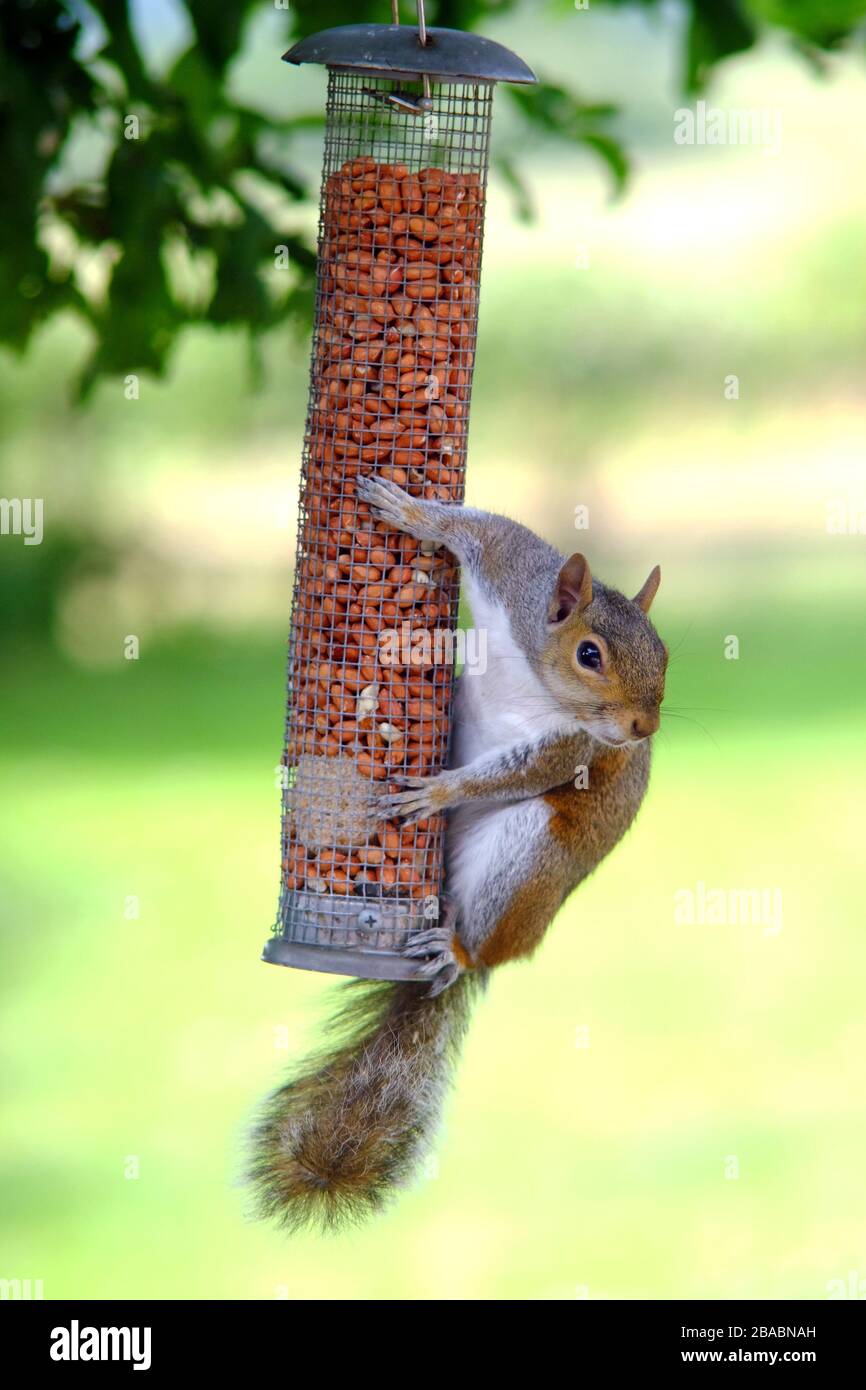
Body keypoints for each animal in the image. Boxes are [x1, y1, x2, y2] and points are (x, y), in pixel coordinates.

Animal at [250, 476, 667, 1231]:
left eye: (666, 655)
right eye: (591, 655)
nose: (641, 728)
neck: (534, 673)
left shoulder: (571, 747)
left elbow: (512, 773)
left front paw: (439, 789)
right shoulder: (515, 576)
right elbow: (482, 531)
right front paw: (415, 513)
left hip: (528, 859)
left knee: (482, 934)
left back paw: (455, 949)